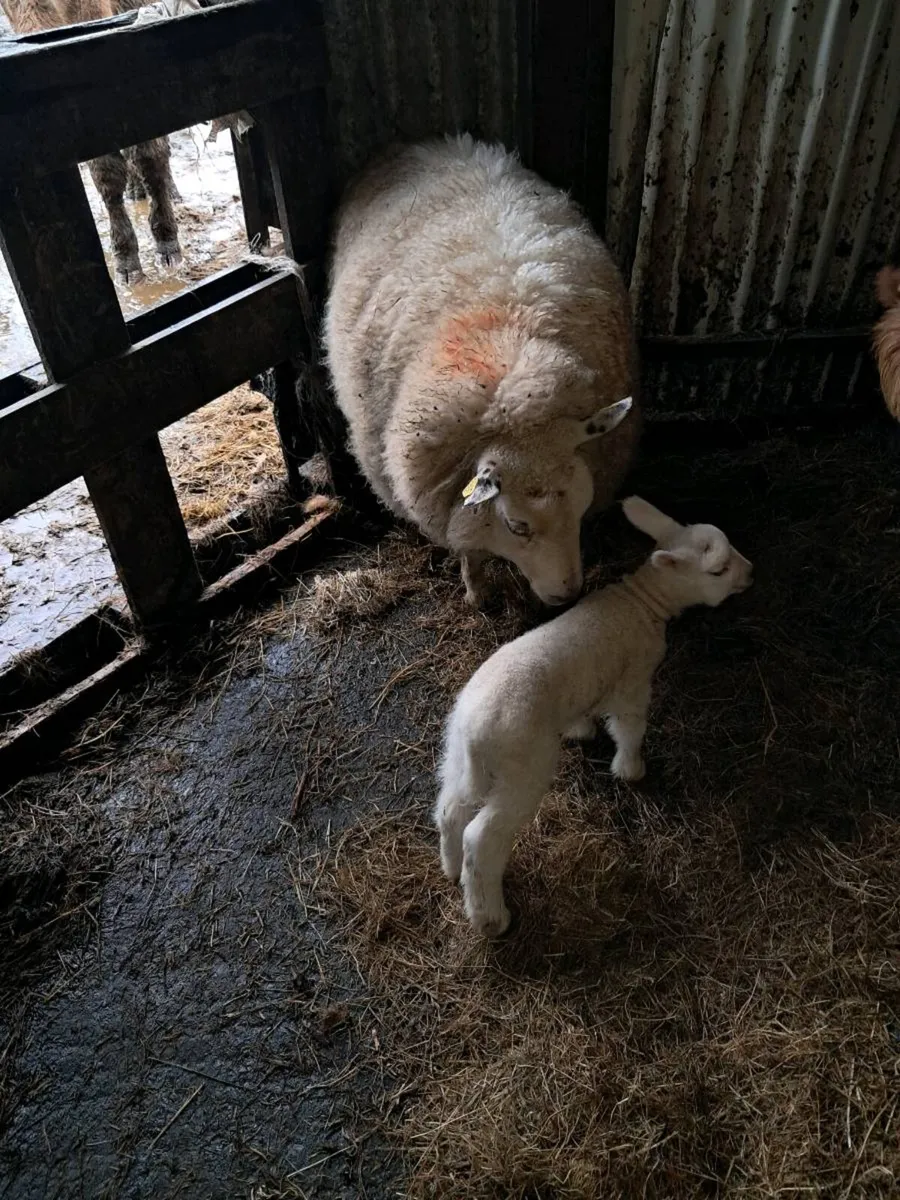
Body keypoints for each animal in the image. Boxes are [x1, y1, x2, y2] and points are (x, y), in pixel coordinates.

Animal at [324, 134, 640, 609]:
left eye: (582, 510)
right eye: (517, 526)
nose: (568, 596)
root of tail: (424, 143)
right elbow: (468, 544)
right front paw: (476, 591)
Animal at [434, 495, 753, 937]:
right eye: (718, 570)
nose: (750, 573)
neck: (641, 601)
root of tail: (473, 733)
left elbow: (586, 711)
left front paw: (581, 730)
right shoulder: (634, 680)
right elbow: (630, 726)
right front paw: (631, 769)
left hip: (460, 759)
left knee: (450, 808)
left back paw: (450, 870)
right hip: (522, 770)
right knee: (480, 839)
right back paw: (490, 917)